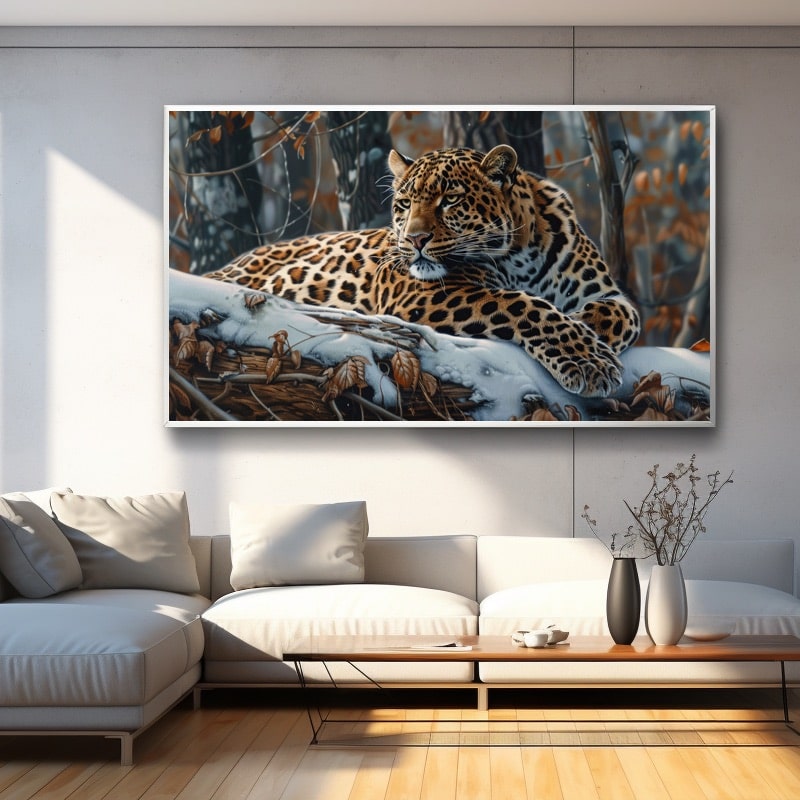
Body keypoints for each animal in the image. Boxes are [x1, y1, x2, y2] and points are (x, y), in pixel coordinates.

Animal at [204, 144, 640, 398]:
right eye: (404, 204)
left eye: (450, 200)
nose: (414, 239)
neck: (520, 255)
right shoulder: (421, 293)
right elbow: (526, 306)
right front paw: (589, 361)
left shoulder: (608, 294)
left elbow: (619, 317)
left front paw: (590, 340)